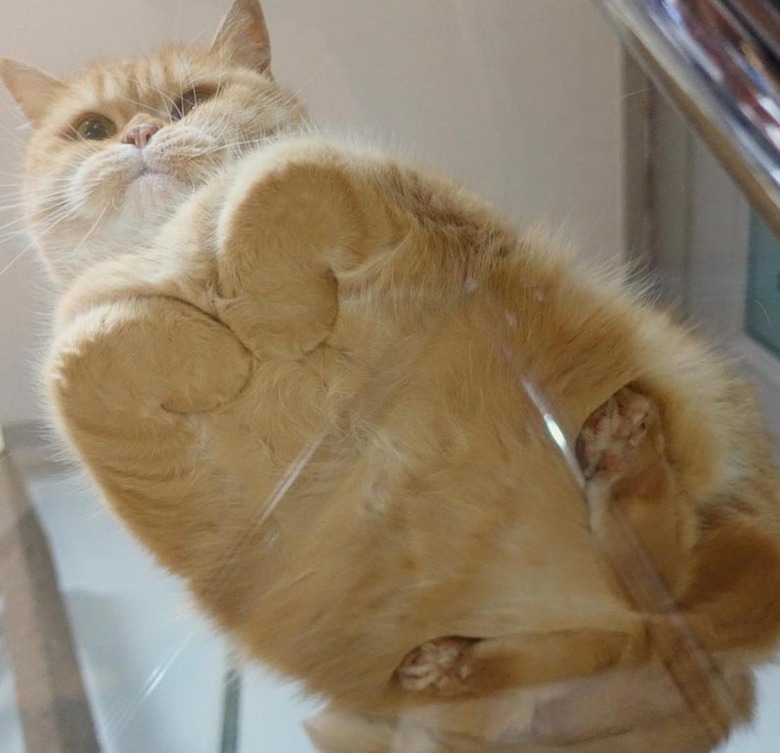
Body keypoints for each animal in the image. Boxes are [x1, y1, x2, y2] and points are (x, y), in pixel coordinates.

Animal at [1, 1, 780, 752]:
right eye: (93, 128)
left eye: (190, 101)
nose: (137, 134)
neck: (173, 246)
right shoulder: (85, 375)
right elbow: (96, 345)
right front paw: (223, 347)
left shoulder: (377, 181)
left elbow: (272, 184)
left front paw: (272, 318)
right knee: (625, 617)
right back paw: (447, 661)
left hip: (691, 416)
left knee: (664, 564)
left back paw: (621, 453)